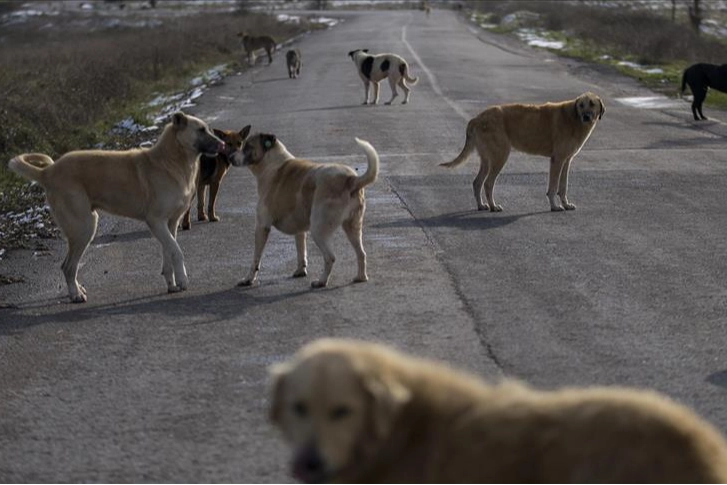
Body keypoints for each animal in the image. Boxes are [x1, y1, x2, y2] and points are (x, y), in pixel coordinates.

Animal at [7, 114, 225, 302]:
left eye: (208, 129)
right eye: (201, 130)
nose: (222, 145)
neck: (172, 160)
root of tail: (47, 172)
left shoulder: (170, 224)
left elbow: (169, 253)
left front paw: (172, 284)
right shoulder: (156, 221)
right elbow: (177, 251)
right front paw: (183, 280)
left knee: (69, 266)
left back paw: (77, 289)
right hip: (84, 227)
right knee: (68, 266)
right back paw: (76, 294)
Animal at [235, 131, 382, 288]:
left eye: (247, 147)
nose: (230, 156)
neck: (271, 163)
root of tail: (351, 179)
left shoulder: (262, 227)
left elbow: (256, 259)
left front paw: (248, 279)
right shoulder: (299, 229)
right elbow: (301, 251)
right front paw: (301, 270)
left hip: (318, 229)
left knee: (330, 257)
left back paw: (322, 281)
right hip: (352, 227)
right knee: (361, 253)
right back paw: (361, 277)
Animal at [440, 91, 604, 211]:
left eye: (592, 104)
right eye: (581, 105)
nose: (586, 117)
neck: (573, 118)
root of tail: (476, 118)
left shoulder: (566, 160)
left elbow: (563, 186)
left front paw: (565, 204)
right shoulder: (557, 160)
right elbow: (553, 187)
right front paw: (555, 206)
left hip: (487, 160)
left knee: (477, 182)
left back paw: (481, 205)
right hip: (500, 156)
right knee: (487, 183)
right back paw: (493, 206)